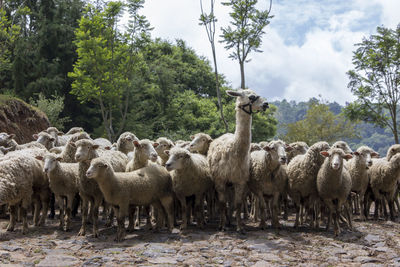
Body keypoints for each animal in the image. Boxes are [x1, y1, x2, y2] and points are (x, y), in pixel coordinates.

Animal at [206, 89, 268, 232]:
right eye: (251, 96)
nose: (266, 104)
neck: (234, 150)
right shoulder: (220, 180)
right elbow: (222, 203)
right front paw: (222, 225)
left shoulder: (240, 180)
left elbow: (238, 203)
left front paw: (240, 227)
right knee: (225, 202)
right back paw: (226, 221)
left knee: (232, 202)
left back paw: (231, 220)